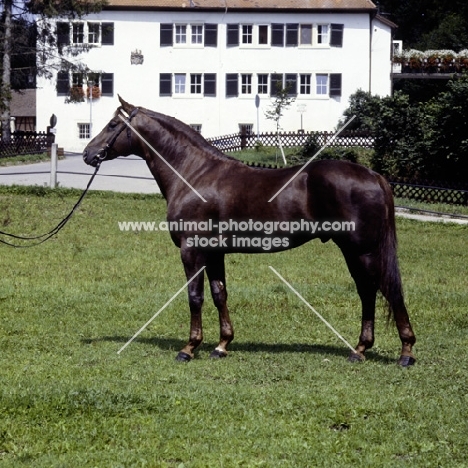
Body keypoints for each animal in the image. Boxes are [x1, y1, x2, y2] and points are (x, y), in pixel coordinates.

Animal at [82, 95, 414, 366]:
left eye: (113, 124)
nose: (88, 153)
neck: (193, 174)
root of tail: (374, 176)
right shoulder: (214, 253)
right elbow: (219, 294)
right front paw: (221, 345)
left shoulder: (192, 251)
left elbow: (194, 296)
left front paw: (189, 348)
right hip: (354, 250)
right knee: (368, 291)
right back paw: (361, 349)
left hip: (362, 250)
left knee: (385, 291)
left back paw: (405, 352)